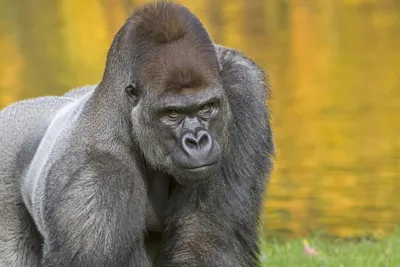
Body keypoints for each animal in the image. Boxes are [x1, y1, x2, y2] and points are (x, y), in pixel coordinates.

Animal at [0, 1, 274, 266]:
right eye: (172, 114)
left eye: (207, 108)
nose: (197, 141)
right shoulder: (97, 185)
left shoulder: (241, 85)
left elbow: (208, 238)